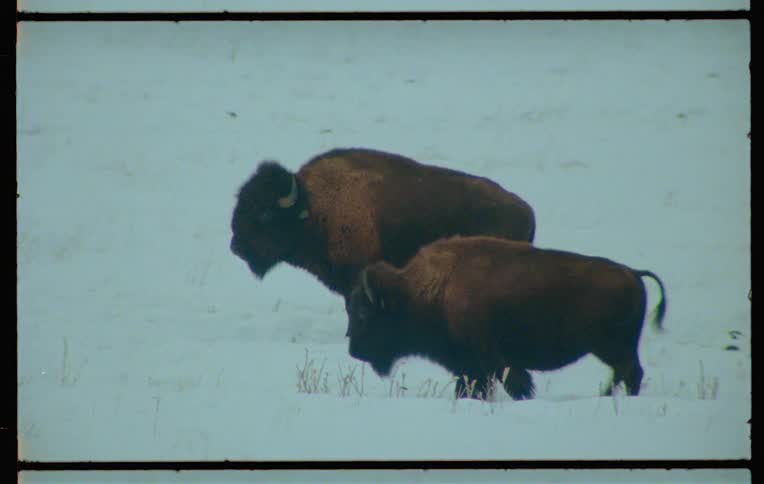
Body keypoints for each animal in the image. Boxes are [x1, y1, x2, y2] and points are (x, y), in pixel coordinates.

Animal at [345, 235, 667, 400]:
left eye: (363, 312)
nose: (353, 351)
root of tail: (633, 273)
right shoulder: (467, 364)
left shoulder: (487, 355)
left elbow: (512, 380)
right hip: (616, 347)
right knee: (625, 373)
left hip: (609, 346)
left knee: (630, 372)